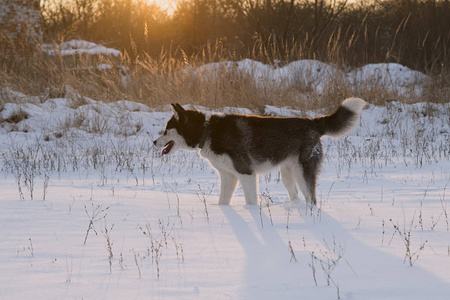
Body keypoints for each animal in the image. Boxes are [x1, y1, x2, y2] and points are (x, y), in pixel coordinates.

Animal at [155, 98, 366, 206]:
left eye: (166, 130)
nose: (154, 142)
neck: (206, 130)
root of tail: (312, 122)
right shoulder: (229, 176)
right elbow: (223, 201)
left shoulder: (246, 173)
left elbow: (250, 201)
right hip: (287, 174)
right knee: (295, 194)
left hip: (302, 171)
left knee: (311, 198)